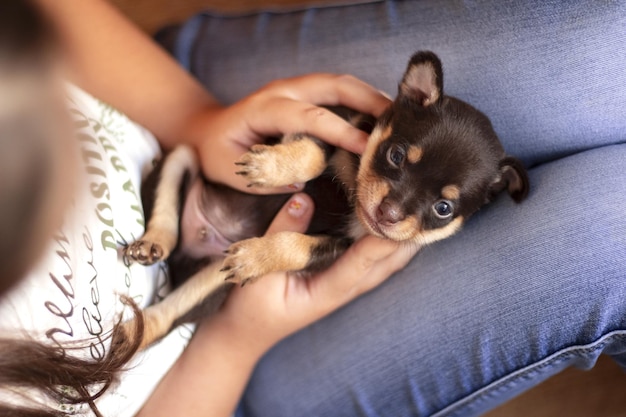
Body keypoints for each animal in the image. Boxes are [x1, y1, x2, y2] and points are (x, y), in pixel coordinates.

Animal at [120, 52, 528, 352]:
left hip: (216, 278)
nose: (389, 213)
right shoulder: (327, 122)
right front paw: (269, 168)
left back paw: (137, 329)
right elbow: (315, 155)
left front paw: (257, 256)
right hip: (183, 158)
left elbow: (296, 246)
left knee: (170, 312)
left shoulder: (337, 247)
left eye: (444, 209)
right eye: (395, 156)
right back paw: (153, 243)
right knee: (167, 218)